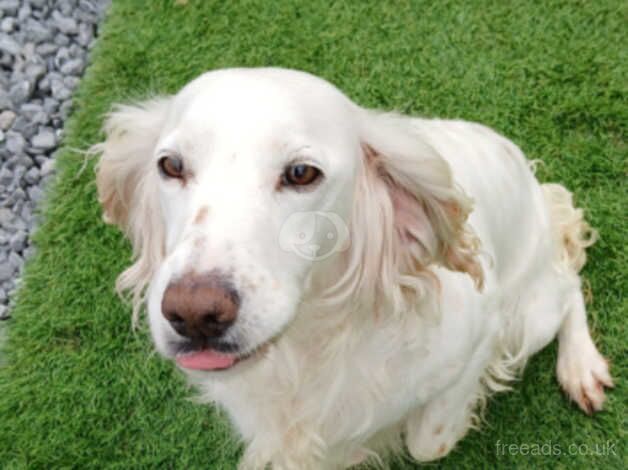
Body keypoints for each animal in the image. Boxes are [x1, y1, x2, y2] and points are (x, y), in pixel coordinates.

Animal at [93, 68, 612, 468]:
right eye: (170, 165)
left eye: (301, 173)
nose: (195, 314)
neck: (309, 342)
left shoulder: (485, 331)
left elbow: (428, 439)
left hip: (532, 314)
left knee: (568, 282)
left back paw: (580, 365)